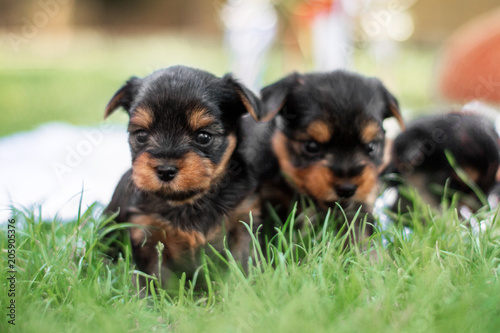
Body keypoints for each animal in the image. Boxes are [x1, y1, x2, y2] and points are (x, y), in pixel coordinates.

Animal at [104, 65, 264, 286]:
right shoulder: (147, 234)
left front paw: (244, 288)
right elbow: (153, 277)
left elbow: (243, 263)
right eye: (141, 135)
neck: (186, 201)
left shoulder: (242, 221)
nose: (165, 170)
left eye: (204, 137)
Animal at [243, 70, 406, 241]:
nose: (346, 189)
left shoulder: (358, 208)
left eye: (371, 147)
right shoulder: (268, 198)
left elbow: (358, 235)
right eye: (311, 146)